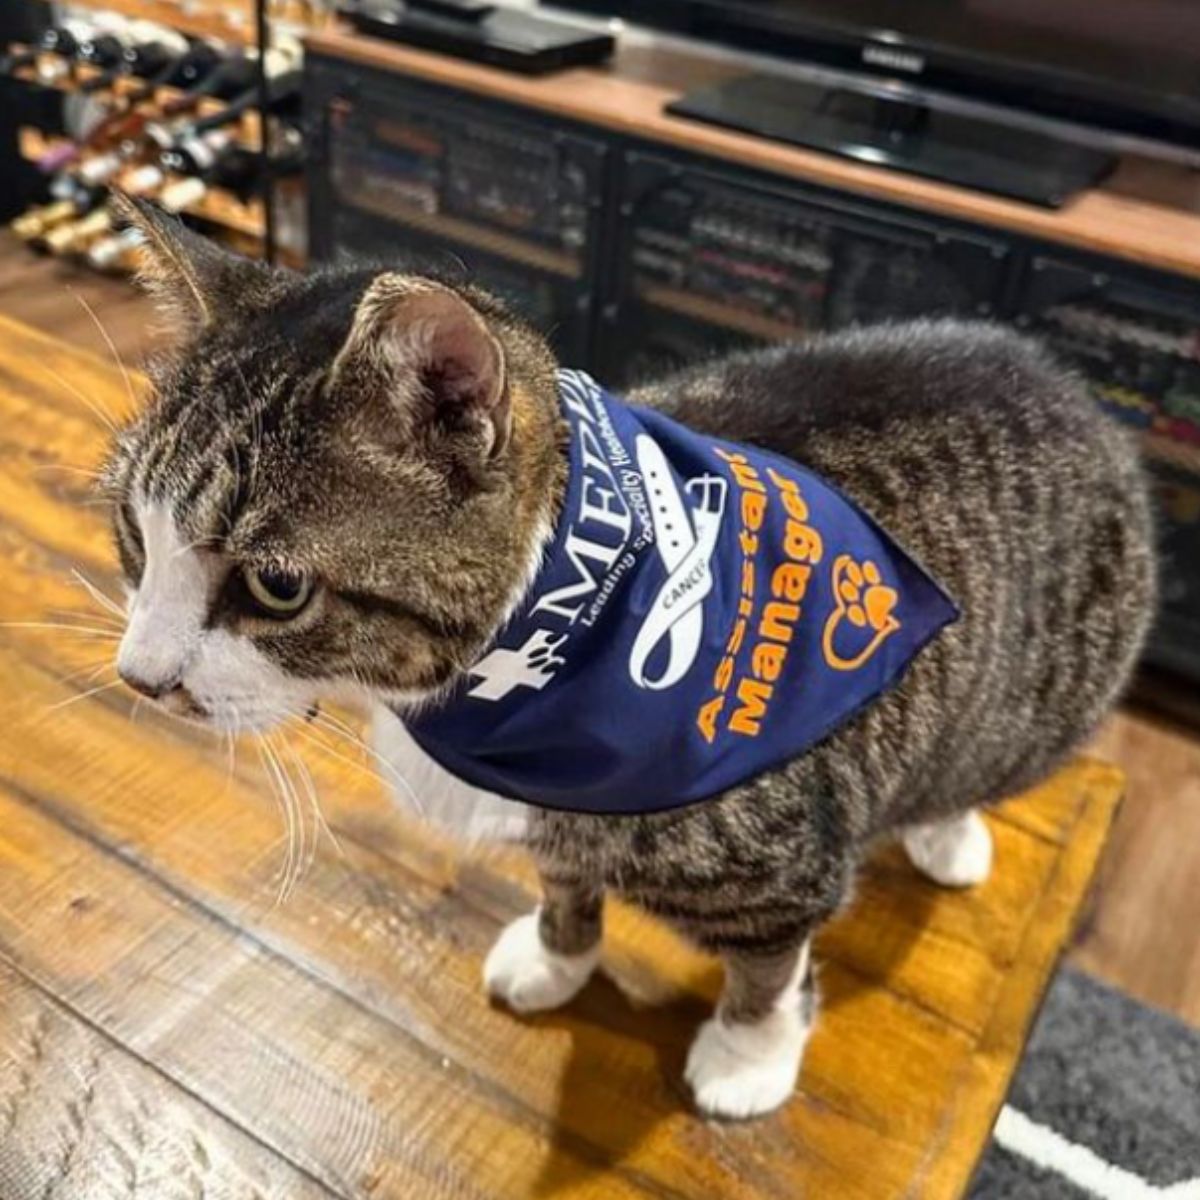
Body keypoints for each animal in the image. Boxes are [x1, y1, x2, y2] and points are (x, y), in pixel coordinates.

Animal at [110, 192, 1152, 1118]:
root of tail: (1063, 378)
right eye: (133, 529)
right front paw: (557, 956)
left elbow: (770, 965)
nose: (140, 678)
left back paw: (947, 833)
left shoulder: (780, 869)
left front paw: (747, 1057)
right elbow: (567, 883)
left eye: (276, 586)